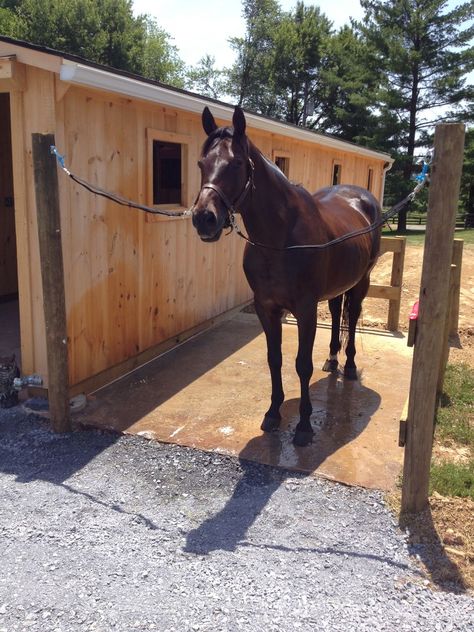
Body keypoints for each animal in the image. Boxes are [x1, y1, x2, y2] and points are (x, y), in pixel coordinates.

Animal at [192, 106, 382, 446]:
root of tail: (362, 199)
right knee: (337, 312)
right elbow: (274, 359)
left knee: (351, 318)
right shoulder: (267, 308)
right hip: (336, 288)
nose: (204, 218)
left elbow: (302, 365)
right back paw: (332, 360)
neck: (279, 239)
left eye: (236, 163)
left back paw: (348, 367)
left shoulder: (305, 310)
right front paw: (272, 414)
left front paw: (304, 426)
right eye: (202, 163)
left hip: (361, 283)